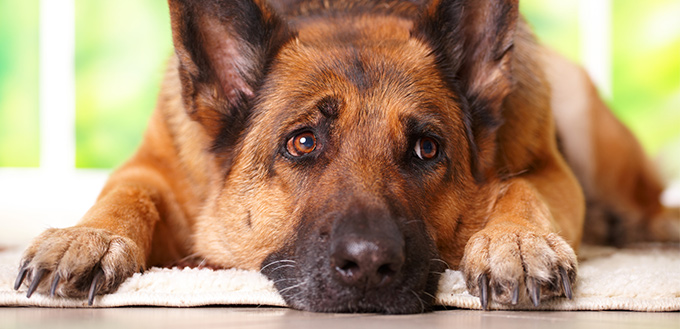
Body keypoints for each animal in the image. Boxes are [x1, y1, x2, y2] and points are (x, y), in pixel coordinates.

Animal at [13, 0, 676, 312]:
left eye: (426, 148)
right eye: (302, 142)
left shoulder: (549, 169)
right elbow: (128, 190)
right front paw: (88, 237)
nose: (370, 265)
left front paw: (514, 241)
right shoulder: (154, 166)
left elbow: (522, 186)